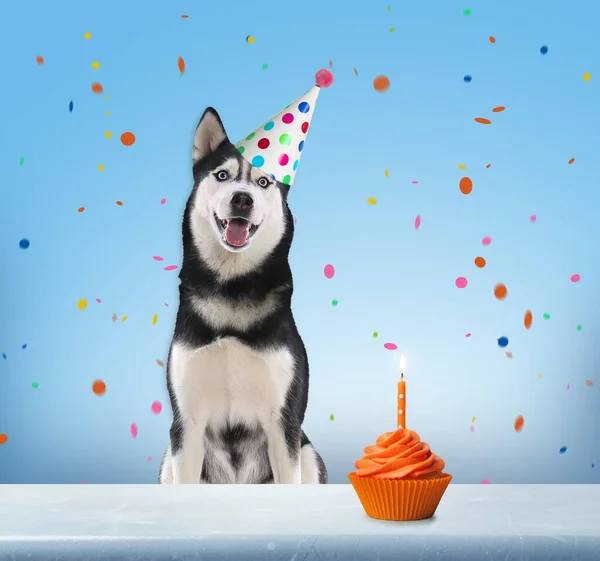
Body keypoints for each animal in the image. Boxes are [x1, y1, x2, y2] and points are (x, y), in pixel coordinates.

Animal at [158, 108, 328, 482]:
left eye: (264, 182)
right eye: (222, 175)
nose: (242, 198)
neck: (231, 288)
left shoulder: (283, 423)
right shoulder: (186, 424)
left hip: (309, 453)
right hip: (166, 460)